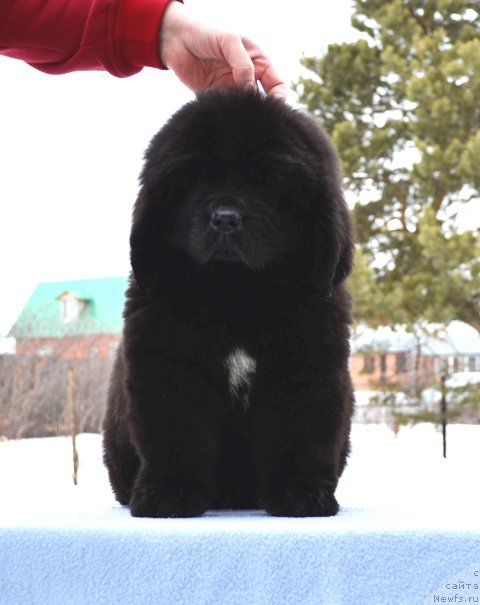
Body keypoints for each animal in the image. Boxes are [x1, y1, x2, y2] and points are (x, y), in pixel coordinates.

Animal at [103, 87, 354, 516]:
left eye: (269, 180)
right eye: (194, 179)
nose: (224, 218)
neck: (234, 292)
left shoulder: (306, 368)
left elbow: (300, 433)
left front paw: (301, 493)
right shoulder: (169, 367)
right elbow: (176, 432)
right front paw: (169, 493)